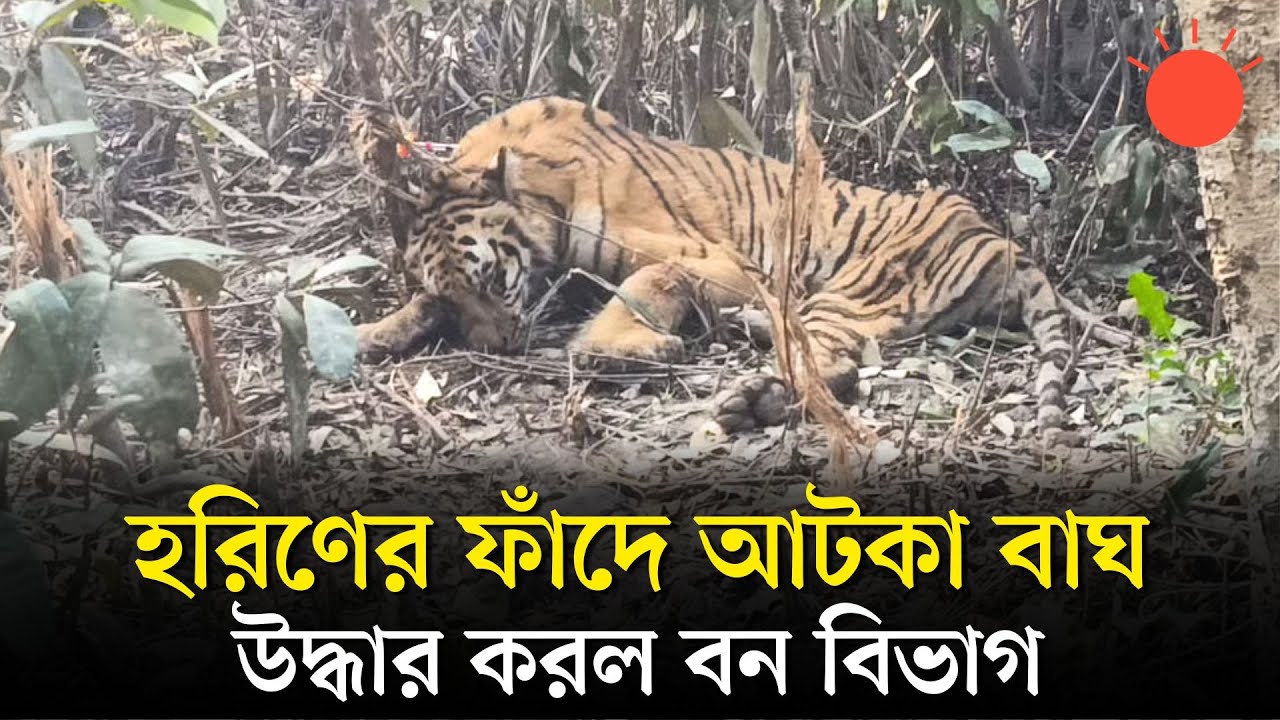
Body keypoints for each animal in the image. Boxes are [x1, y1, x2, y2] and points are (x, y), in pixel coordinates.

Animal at [355, 95, 1078, 441]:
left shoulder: (718, 260)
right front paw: (370, 332)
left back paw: (748, 393)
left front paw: (615, 349)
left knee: (830, 367)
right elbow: (413, 305)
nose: (492, 349)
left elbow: (645, 285)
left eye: (489, 280)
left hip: (851, 290)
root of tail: (995, 234)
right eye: (454, 298)